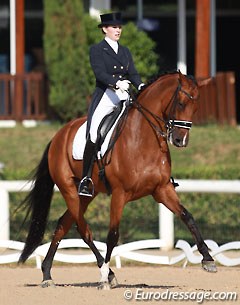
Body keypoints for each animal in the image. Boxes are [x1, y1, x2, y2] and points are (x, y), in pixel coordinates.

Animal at [18, 70, 217, 288]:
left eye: (196, 107)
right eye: (181, 103)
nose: (181, 140)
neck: (143, 138)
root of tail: (58, 136)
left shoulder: (162, 189)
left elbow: (187, 217)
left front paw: (208, 259)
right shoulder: (120, 193)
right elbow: (113, 235)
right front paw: (105, 277)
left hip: (87, 194)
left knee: (64, 224)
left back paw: (47, 274)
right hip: (68, 188)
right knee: (83, 229)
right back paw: (106, 273)